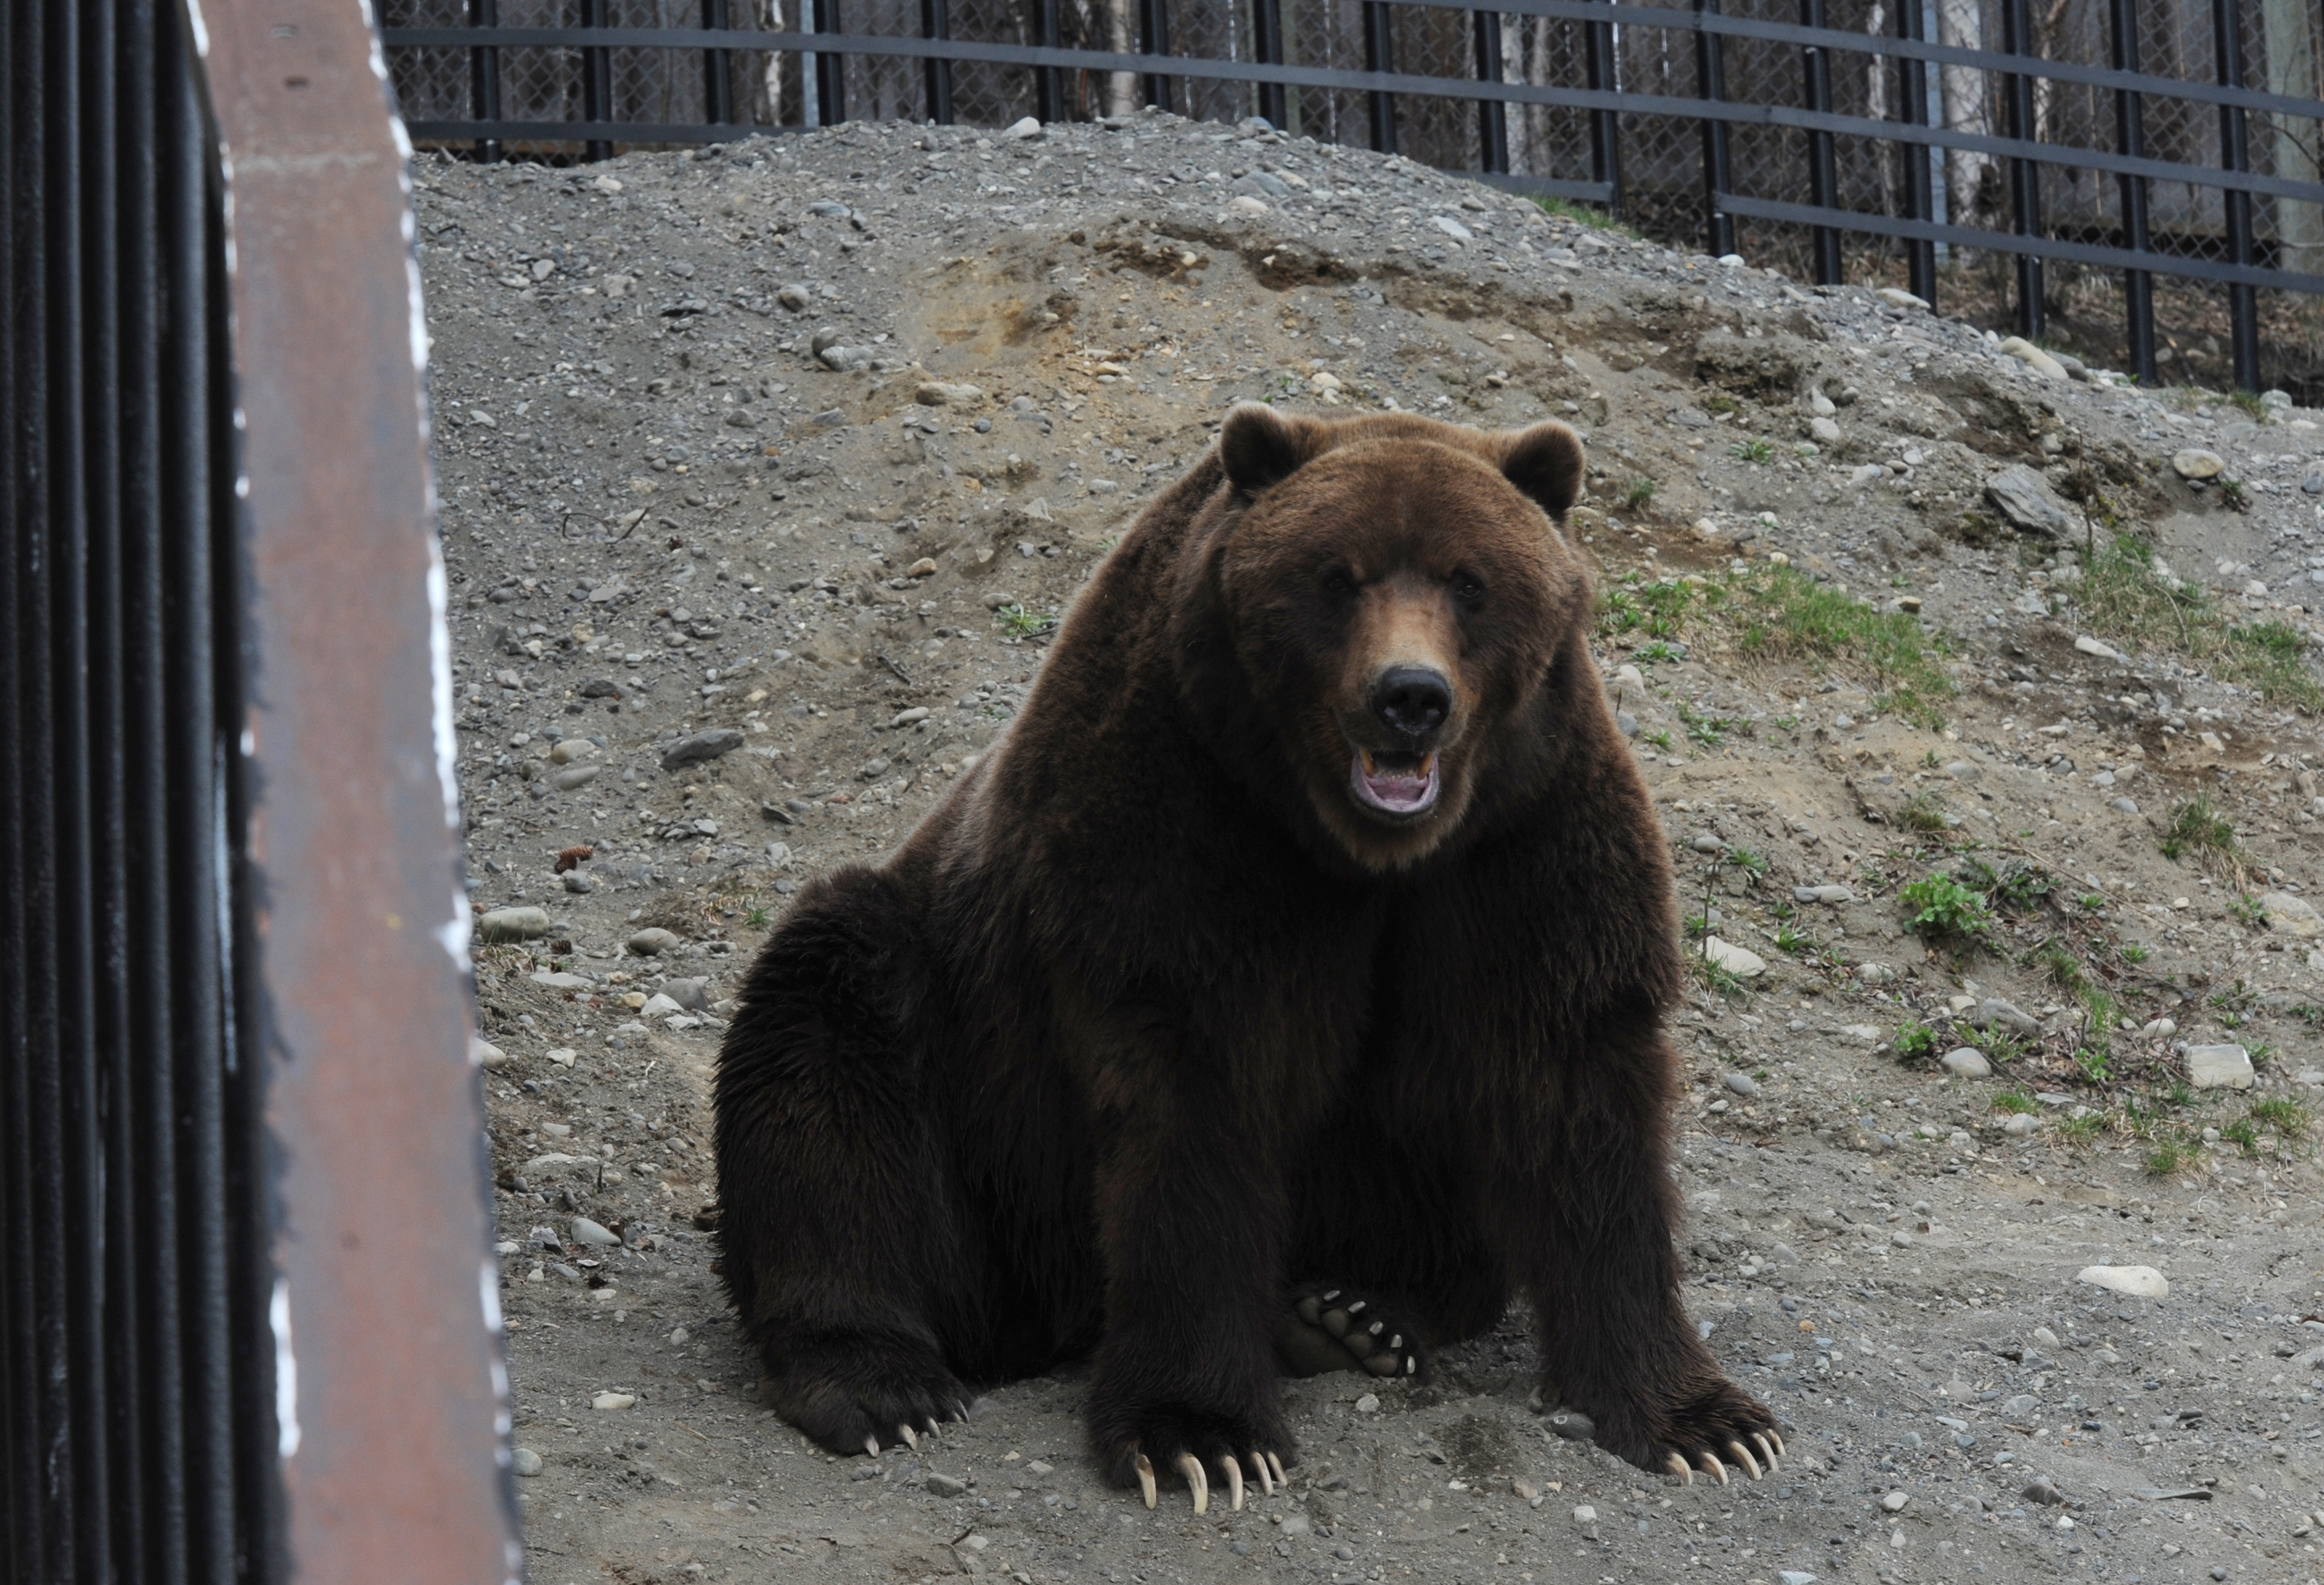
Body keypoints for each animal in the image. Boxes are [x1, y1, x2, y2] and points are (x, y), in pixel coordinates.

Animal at [716, 397, 1785, 1506]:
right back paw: (879, 1379)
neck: (1361, 849)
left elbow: (1578, 1096)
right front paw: (1200, 1433)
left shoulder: (1523, 841)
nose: (1410, 696)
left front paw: (1705, 1422)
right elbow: (1195, 1111)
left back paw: (1357, 1313)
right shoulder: (1185, 826)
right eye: (1337, 575)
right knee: (827, 1051)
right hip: (961, 1082)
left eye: (1468, 581)